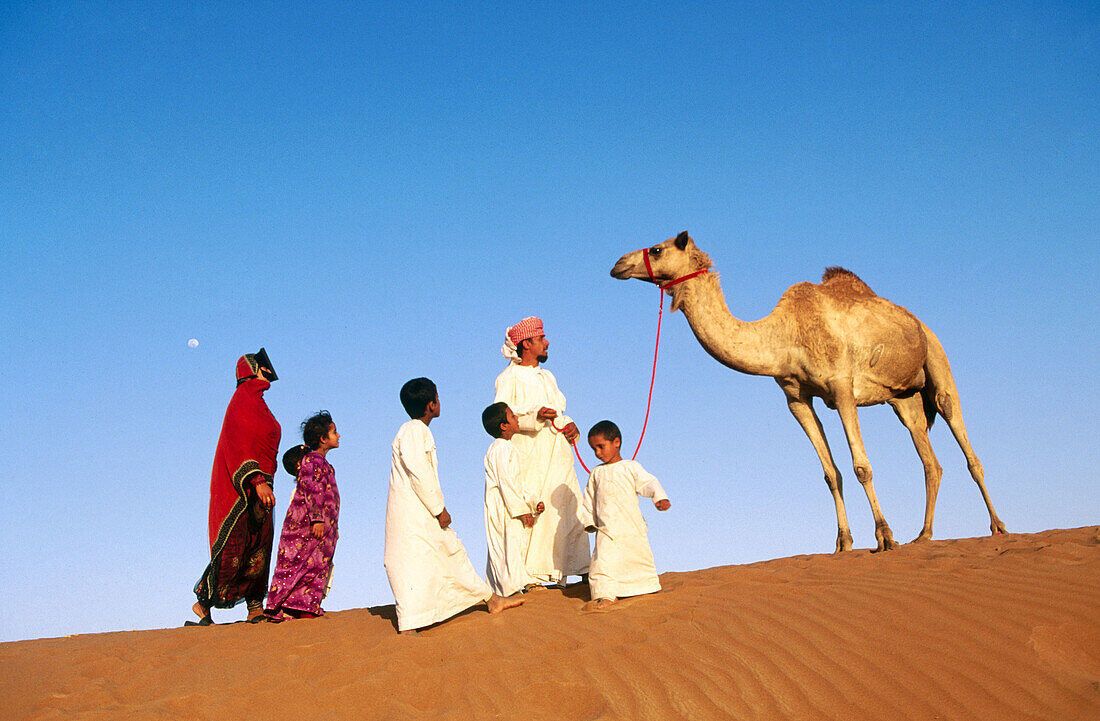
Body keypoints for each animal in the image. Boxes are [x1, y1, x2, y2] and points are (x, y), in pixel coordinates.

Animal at [611, 231, 1007, 552]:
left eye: (657, 249)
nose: (618, 264)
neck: (782, 336)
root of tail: (918, 322)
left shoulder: (842, 387)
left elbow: (862, 466)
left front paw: (884, 536)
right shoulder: (796, 398)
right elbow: (831, 473)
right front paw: (843, 543)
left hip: (938, 359)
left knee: (962, 437)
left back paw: (998, 527)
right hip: (904, 398)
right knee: (929, 458)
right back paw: (923, 536)